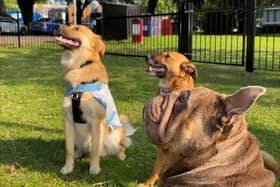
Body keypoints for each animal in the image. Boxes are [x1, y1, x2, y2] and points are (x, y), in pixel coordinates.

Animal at [55, 24, 135, 175]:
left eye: (77, 28)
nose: (57, 25)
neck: (80, 66)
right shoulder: (68, 121)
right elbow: (68, 149)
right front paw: (68, 167)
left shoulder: (95, 122)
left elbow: (95, 149)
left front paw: (94, 167)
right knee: (80, 149)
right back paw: (78, 153)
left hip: (113, 132)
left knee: (119, 147)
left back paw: (120, 155)